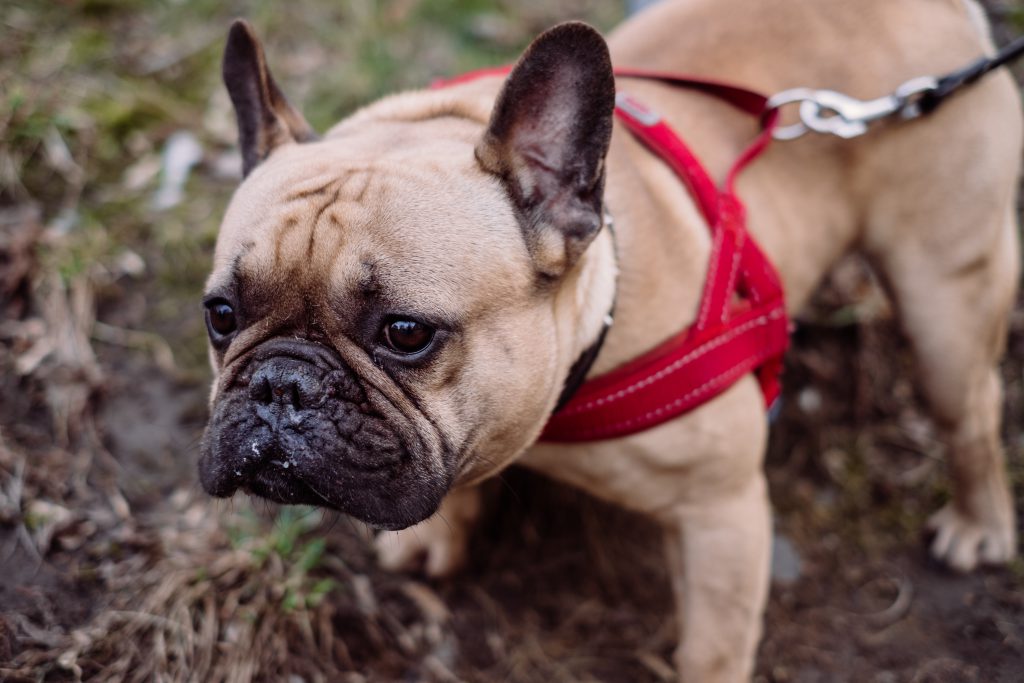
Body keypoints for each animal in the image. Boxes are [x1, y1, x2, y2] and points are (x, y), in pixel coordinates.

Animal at [195, 2, 1019, 679]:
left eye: (405, 333)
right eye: (221, 316)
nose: (279, 384)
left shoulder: (722, 514)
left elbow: (711, 648)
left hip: (945, 295)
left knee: (970, 412)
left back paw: (978, 525)